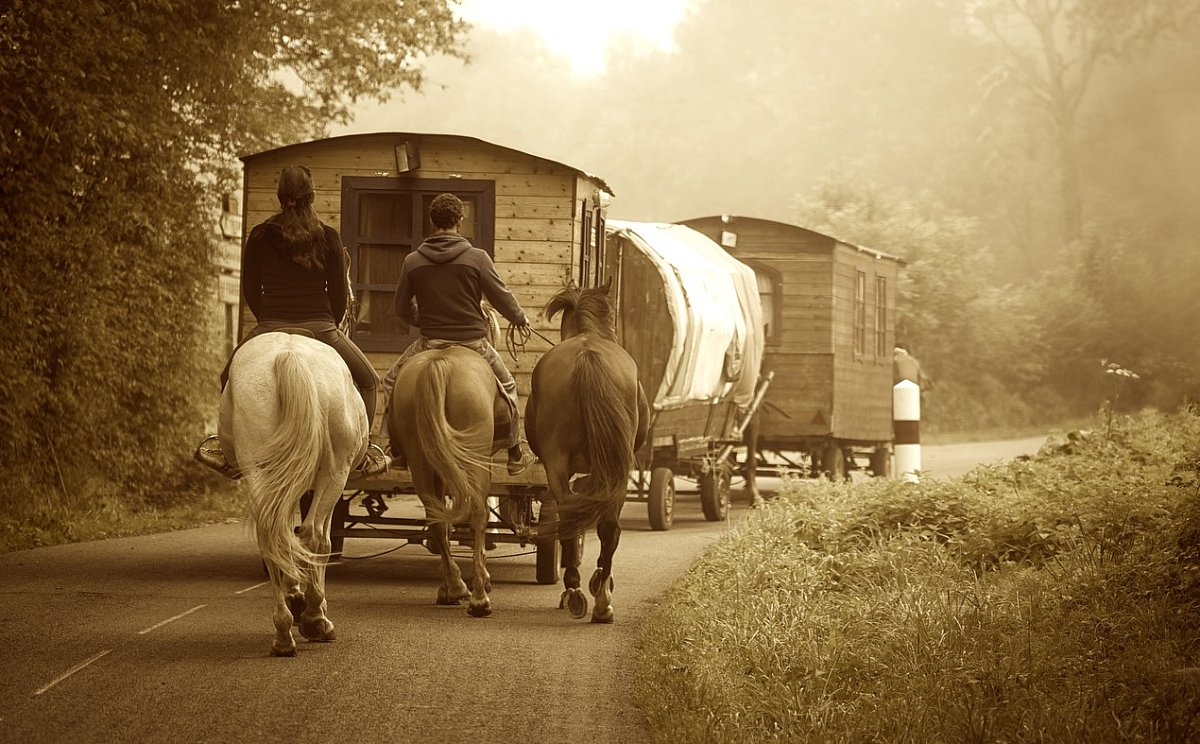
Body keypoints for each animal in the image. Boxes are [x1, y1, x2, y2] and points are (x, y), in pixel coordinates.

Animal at [216, 331, 364, 657]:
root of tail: (289, 354)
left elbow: (287, 533)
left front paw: (296, 595)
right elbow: (318, 539)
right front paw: (309, 606)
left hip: (260, 469)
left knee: (271, 535)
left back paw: (284, 632)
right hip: (334, 472)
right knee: (314, 536)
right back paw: (315, 620)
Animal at [386, 343, 508, 614]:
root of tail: (439, 363)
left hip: (420, 458)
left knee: (436, 518)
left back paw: (454, 588)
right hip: (473, 457)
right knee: (477, 514)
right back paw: (479, 598)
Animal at [530, 278, 652, 624]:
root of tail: (587, 356)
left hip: (563, 465)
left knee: (575, 516)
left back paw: (578, 590)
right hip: (615, 468)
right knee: (605, 526)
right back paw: (599, 596)